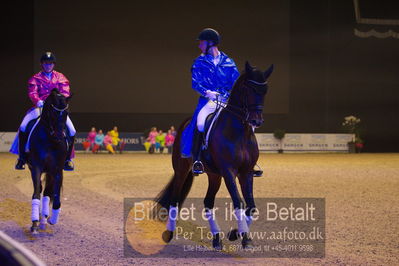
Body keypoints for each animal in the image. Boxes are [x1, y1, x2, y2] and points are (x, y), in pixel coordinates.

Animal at [26, 88, 70, 234]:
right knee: (40, 189)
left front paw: (52, 219)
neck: (51, 141)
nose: (59, 136)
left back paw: (44, 218)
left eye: (66, 113)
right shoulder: (36, 167)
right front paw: (34, 222)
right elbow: (36, 193)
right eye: (53, 112)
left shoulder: (57, 170)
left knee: (46, 193)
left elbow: (55, 199)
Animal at [156, 62, 276, 249]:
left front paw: (237, 234)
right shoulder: (229, 172)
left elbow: (251, 206)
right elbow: (238, 202)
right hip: (182, 170)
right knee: (175, 199)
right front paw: (244, 237)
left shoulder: (246, 172)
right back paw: (168, 234)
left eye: (265, 90)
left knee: (208, 202)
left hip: (214, 175)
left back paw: (217, 238)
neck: (239, 132)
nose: (256, 121)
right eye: (248, 89)